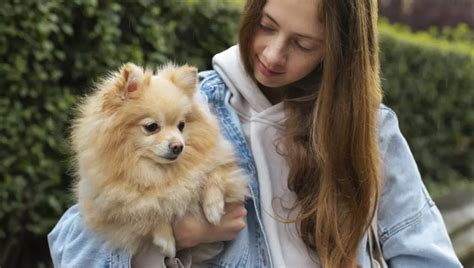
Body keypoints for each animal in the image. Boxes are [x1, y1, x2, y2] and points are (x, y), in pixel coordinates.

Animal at [72, 62, 250, 258]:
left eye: (181, 125)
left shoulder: (223, 164)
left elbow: (213, 175)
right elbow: (152, 210)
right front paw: (166, 240)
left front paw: (214, 208)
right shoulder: (115, 209)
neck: (159, 172)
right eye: (152, 127)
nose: (178, 146)